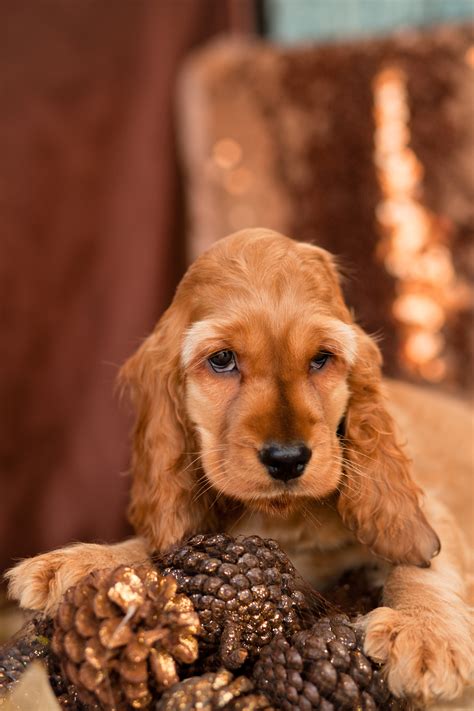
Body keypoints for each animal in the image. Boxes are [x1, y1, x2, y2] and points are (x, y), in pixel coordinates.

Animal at [7, 229, 474, 708]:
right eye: (222, 360)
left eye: (321, 358)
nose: (287, 459)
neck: (283, 520)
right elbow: (164, 547)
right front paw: (78, 563)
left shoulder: (422, 509)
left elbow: (426, 560)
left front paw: (424, 633)